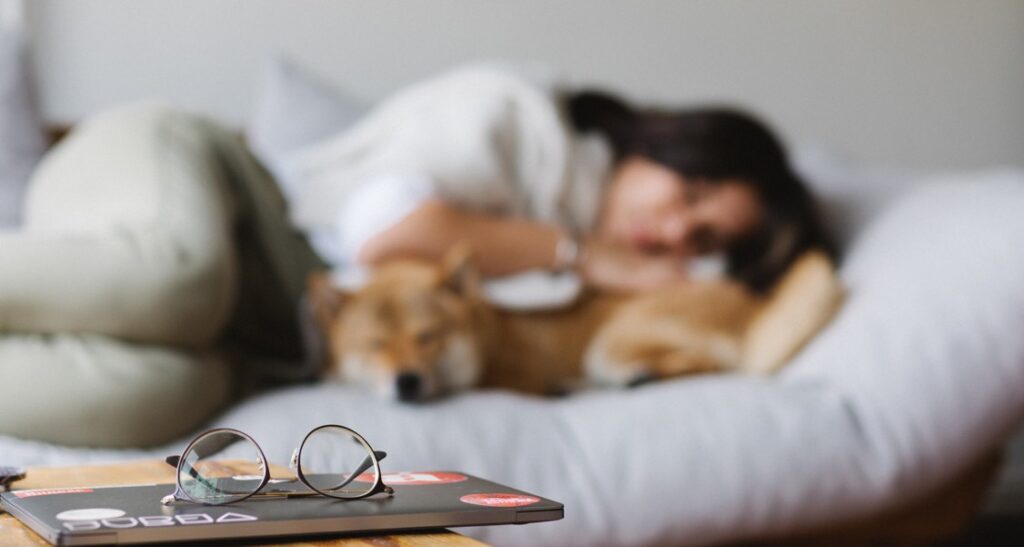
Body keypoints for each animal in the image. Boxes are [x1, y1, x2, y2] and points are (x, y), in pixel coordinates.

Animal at [307, 249, 843, 403]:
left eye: (427, 336)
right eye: (374, 345)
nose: (407, 381)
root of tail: (757, 303)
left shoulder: (519, 374)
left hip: (610, 342)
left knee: (711, 363)